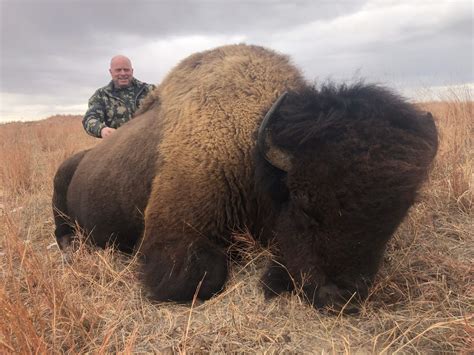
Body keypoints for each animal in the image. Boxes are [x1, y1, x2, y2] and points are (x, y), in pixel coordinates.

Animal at [51, 43, 436, 312]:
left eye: (396, 216)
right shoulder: (170, 235)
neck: (251, 149)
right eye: (304, 203)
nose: (341, 298)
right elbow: (201, 277)